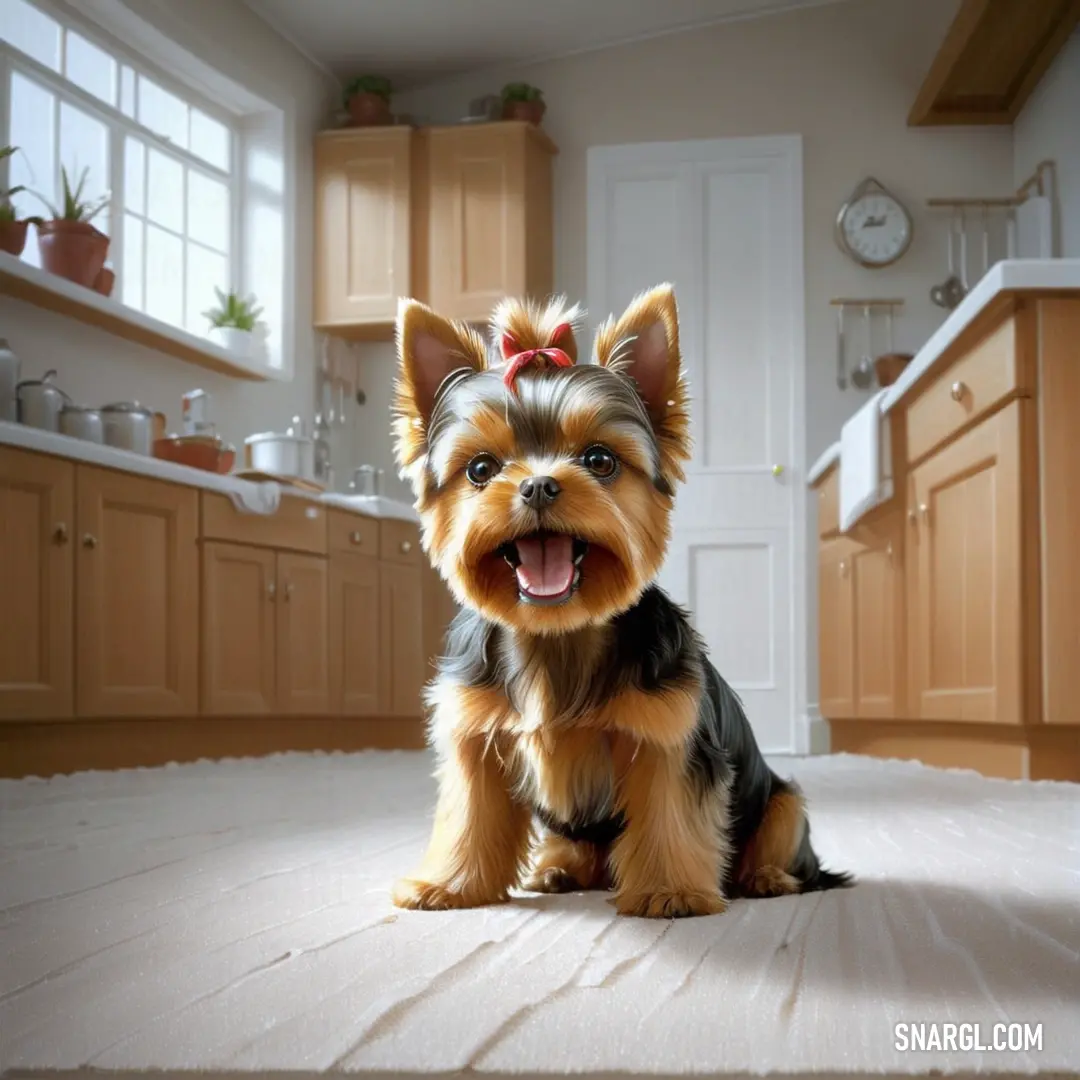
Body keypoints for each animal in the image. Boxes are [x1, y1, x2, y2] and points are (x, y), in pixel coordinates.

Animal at [388, 282, 851, 915]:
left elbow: (669, 809)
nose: (538, 485)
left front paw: (670, 892)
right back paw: (558, 870)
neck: (558, 632)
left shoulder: (668, 736)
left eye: (599, 460)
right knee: (576, 848)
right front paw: (451, 884)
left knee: (783, 828)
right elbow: (470, 812)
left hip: (779, 801)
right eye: (481, 468)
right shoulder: (475, 737)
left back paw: (767, 877)